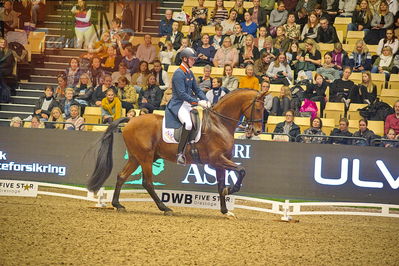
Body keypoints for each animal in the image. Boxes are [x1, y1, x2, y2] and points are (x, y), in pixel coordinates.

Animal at [88, 88, 268, 217]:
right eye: (258, 108)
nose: (258, 131)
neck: (219, 123)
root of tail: (132, 120)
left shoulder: (222, 161)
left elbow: (221, 185)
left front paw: (225, 210)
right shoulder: (217, 159)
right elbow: (241, 170)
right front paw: (230, 191)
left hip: (135, 157)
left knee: (122, 176)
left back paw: (118, 205)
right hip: (145, 158)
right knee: (147, 182)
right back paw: (165, 208)